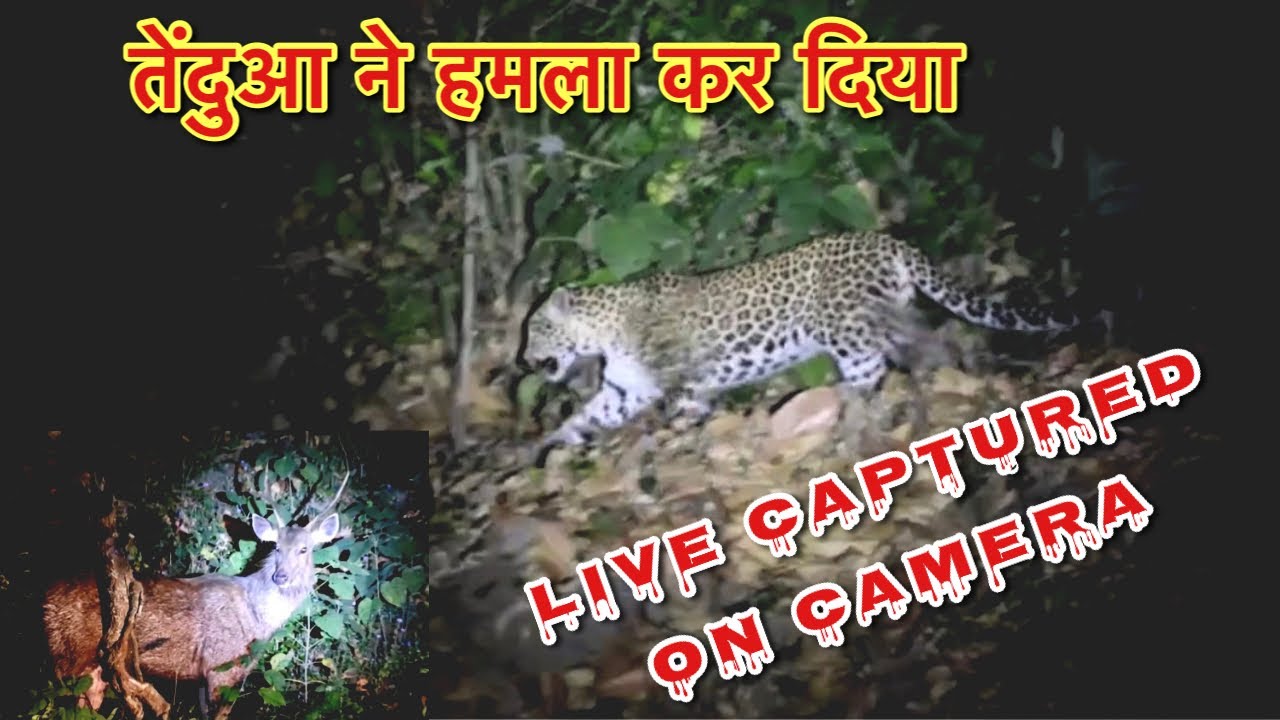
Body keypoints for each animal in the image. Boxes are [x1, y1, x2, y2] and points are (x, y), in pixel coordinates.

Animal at [520, 231, 1080, 448]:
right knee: (913, 347)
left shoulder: (679, 379)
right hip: (879, 321)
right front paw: (552, 444)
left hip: (847, 326)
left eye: (536, 330)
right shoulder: (626, 390)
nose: (523, 360)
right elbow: (589, 415)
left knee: (882, 363)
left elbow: (683, 412)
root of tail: (886, 240)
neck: (604, 335)